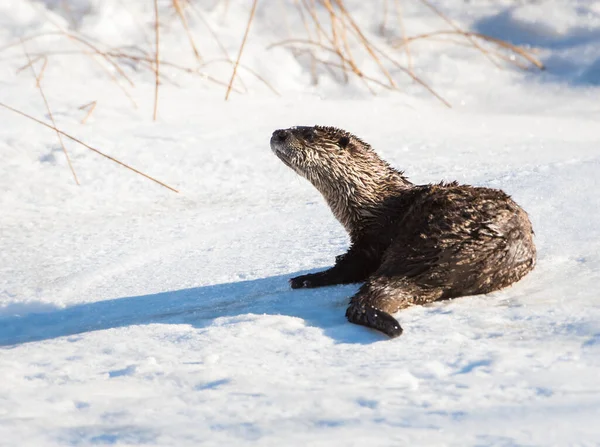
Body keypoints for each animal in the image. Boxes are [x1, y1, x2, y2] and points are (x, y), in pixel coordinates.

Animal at [270, 124, 536, 338]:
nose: (278, 133)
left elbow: (351, 266)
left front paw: (307, 277)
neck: (374, 202)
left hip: (422, 236)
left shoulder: (373, 238)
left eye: (308, 134)